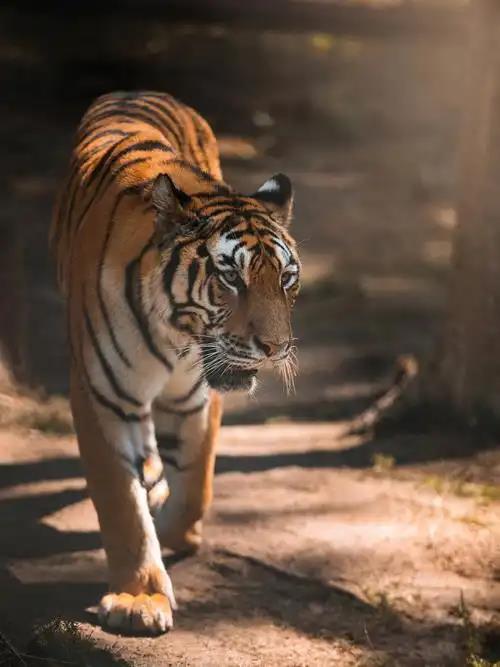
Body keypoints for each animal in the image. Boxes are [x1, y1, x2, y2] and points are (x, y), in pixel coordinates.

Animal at [50, 91, 301, 635]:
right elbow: (120, 503)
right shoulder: (100, 394)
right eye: (231, 276)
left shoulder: (199, 396)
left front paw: (175, 531)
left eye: (286, 278)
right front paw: (138, 600)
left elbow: (197, 485)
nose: (275, 347)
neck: (175, 336)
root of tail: (137, 90)